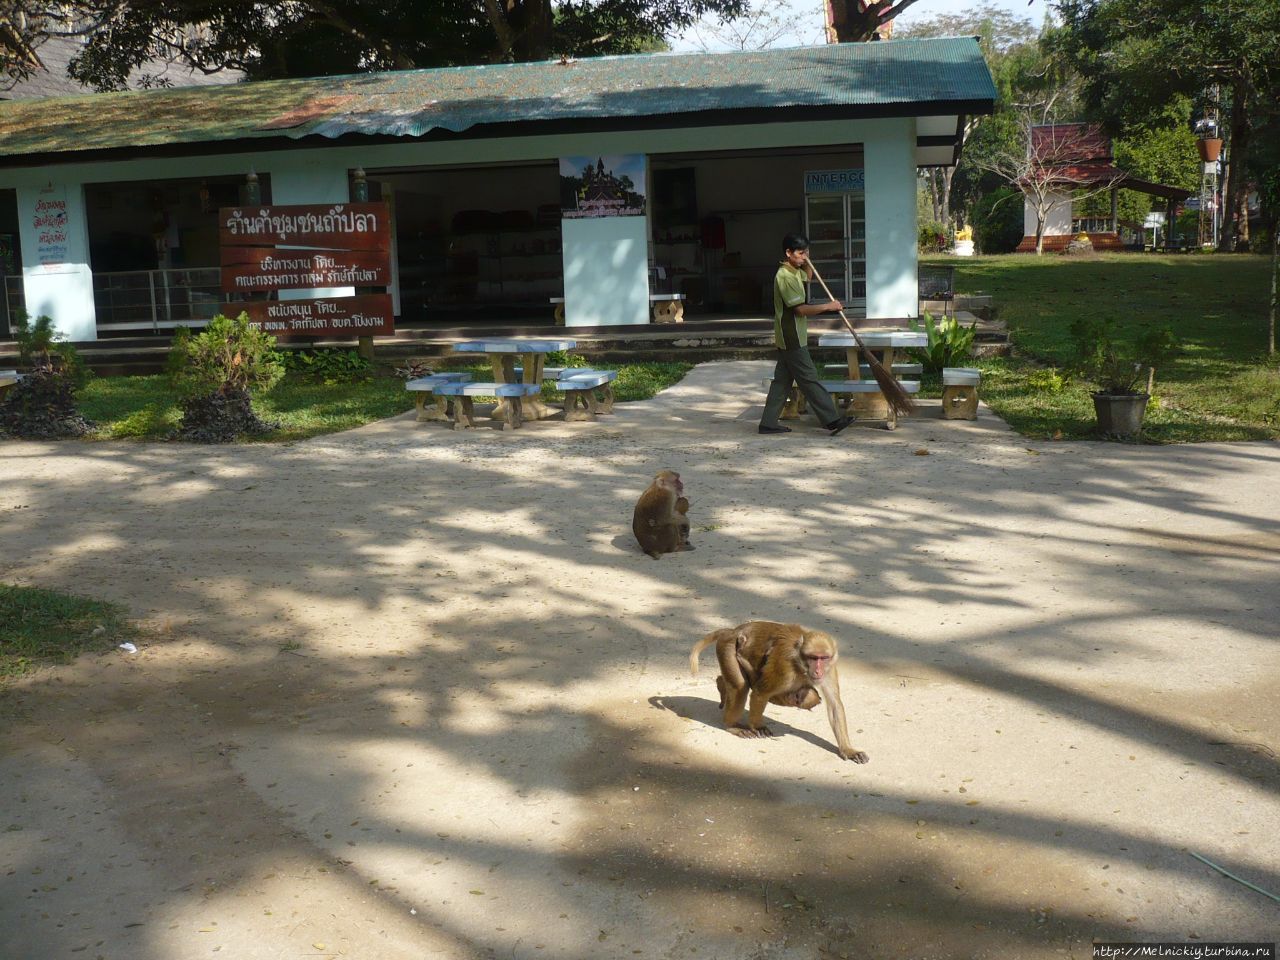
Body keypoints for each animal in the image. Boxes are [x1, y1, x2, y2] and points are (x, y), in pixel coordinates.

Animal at [691, 624, 870, 768]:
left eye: (823, 658)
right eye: (813, 658)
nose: (818, 671)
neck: (800, 665)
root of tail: (732, 631)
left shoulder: (830, 668)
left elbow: (834, 706)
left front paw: (848, 749)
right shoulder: (784, 667)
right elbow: (760, 692)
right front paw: (758, 727)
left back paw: (722, 685)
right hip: (728, 648)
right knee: (740, 686)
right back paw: (731, 725)